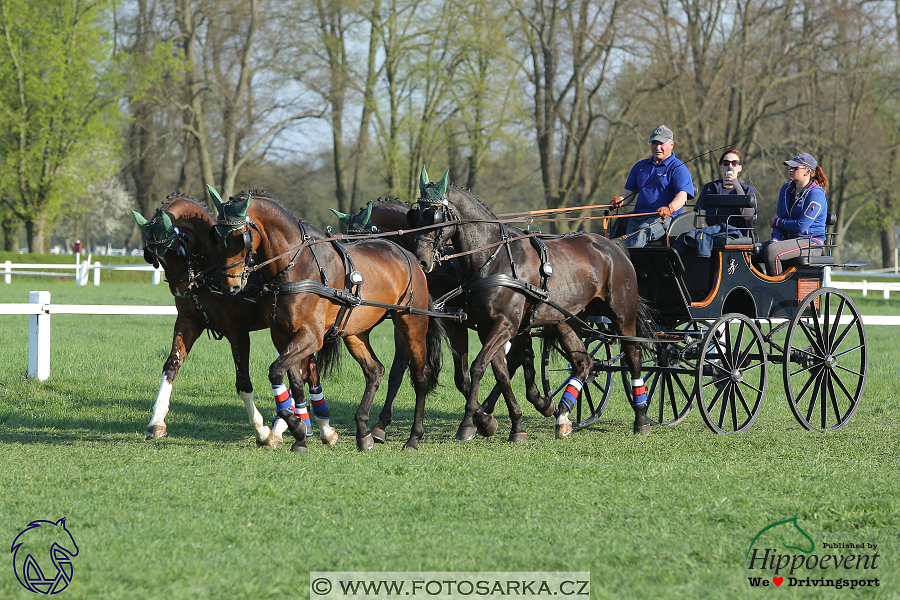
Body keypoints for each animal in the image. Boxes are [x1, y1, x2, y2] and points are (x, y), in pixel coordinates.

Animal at [134, 192, 342, 450]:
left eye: (176, 250)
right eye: (153, 255)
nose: (181, 290)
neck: (210, 270)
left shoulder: (238, 332)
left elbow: (243, 382)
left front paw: (262, 431)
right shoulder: (188, 322)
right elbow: (171, 365)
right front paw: (157, 421)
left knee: (305, 373)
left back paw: (290, 428)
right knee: (308, 371)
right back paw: (316, 428)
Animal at [215, 189, 446, 450]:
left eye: (239, 236)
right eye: (217, 236)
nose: (229, 284)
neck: (294, 266)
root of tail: (410, 257)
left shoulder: (310, 337)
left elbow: (276, 371)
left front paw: (296, 427)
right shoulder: (282, 337)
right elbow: (295, 382)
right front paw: (300, 434)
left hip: (411, 324)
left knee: (420, 376)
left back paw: (414, 437)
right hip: (355, 332)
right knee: (374, 370)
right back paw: (364, 432)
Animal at [332, 197, 556, 440]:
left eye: (365, 241)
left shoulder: (454, 323)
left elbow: (462, 377)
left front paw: (481, 421)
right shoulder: (407, 321)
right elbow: (397, 371)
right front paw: (381, 424)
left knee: (517, 356)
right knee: (522, 354)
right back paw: (536, 401)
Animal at [410, 166, 652, 438]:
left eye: (435, 215)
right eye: (415, 215)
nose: (421, 261)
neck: (494, 258)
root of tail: (613, 245)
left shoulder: (506, 325)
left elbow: (479, 366)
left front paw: (469, 423)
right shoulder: (487, 327)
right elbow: (501, 372)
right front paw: (511, 423)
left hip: (623, 316)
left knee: (633, 356)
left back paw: (641, 417)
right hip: (566, 319)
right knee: (584, 362)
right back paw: (563, 413)